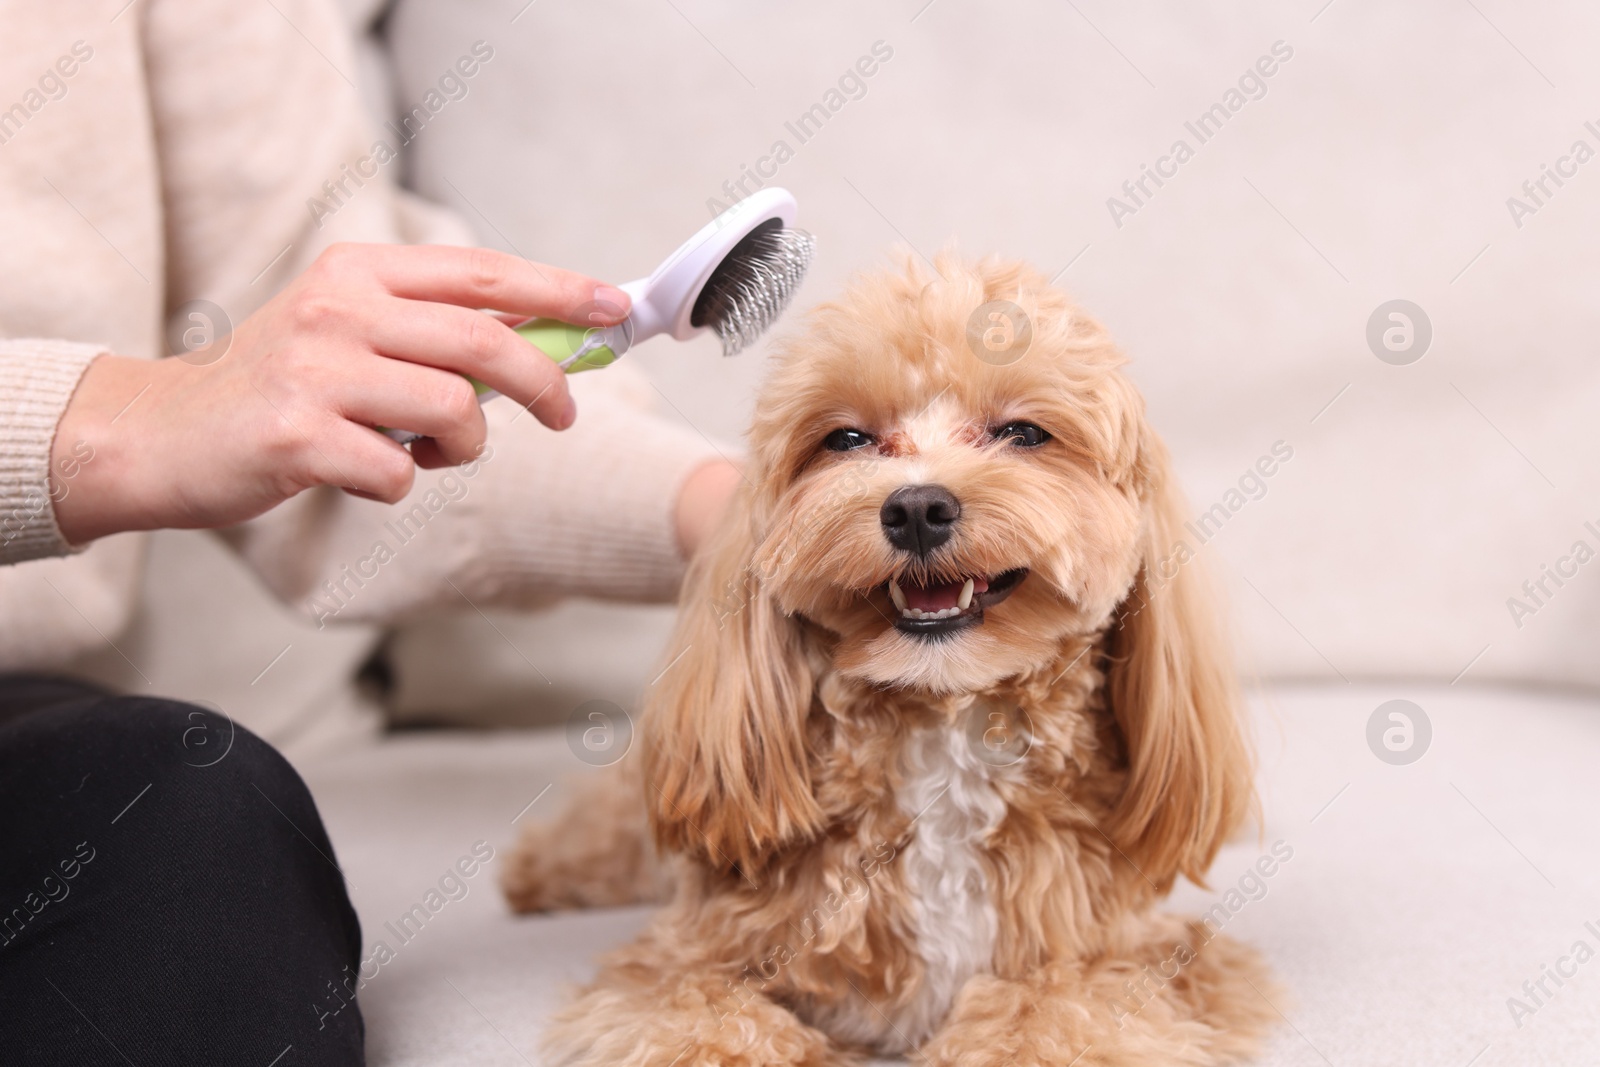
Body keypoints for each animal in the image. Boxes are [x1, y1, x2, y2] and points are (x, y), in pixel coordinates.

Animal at [505, 254, 1280, 1062]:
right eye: (847, 439)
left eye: (1023, 432)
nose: (915, 508)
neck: (944, 734)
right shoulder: (676, 966)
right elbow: (717, 1024)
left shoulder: (1144, 958)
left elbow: (1050, 1008)